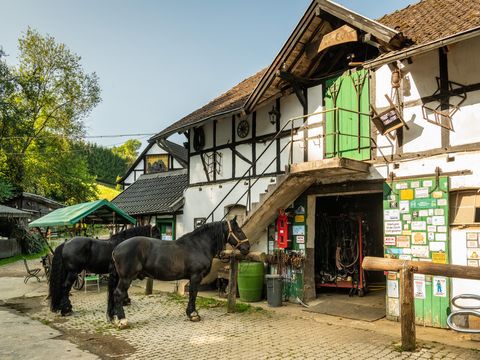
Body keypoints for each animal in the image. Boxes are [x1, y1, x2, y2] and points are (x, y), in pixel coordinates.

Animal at [108, 217, 249, 326]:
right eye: (238, 230)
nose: (247, 247)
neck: (198, 245)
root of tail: (116, 249)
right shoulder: (196, 277)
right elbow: (193, 293)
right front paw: (193, 314)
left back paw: (114, 318)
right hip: (126, 278)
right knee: (118, 294)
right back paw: (122, 320)